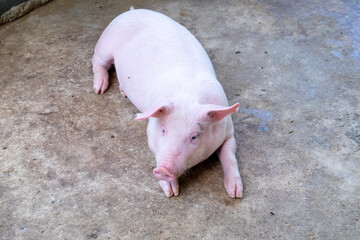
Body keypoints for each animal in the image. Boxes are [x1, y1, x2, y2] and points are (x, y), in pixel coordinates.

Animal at [93, 8, 243, 198]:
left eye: (194, 136)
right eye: (164, 130)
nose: (163, 170)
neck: (189, 94)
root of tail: (132, 11)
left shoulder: (228, 131)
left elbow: (230, 155)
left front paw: (236, 193)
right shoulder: (151, 132)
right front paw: (171, 193)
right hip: (105, 44)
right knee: (98, 62)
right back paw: (99, 89)